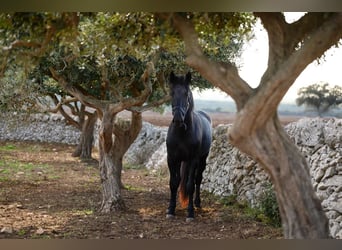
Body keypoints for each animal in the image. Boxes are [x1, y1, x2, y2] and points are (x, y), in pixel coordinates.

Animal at [166, 71, 211, 222]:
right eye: (172, 92)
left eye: (186, 94)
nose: (178, 119)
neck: (182, 132)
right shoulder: (172, 159)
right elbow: (173, 183)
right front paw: (170, 210)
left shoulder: (193, 160)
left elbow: (190, 185)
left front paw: (190, 213)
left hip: (202, 160)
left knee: (198, 179)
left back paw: (197, 203)